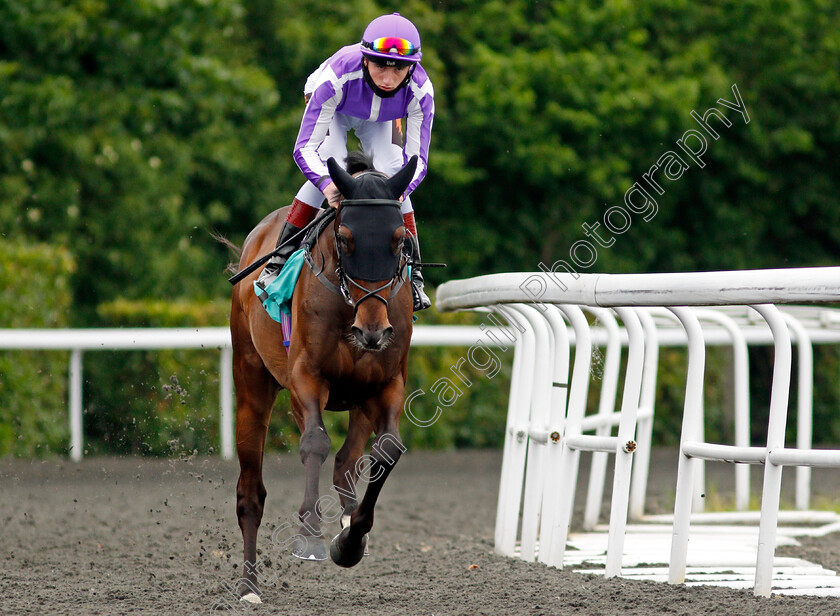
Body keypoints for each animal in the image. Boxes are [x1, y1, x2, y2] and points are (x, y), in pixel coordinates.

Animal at [230, 153, 416, 600]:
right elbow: (314, 442)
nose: (373, 331)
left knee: (347, 463)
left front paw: (350, 541)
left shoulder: (386, 384)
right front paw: (310, 534)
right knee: (250, 493)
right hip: (251, 381)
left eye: (399, 238)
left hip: (359, 397)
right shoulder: (307, 377)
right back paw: (248, 585)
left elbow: (387, 451)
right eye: (346, 239)